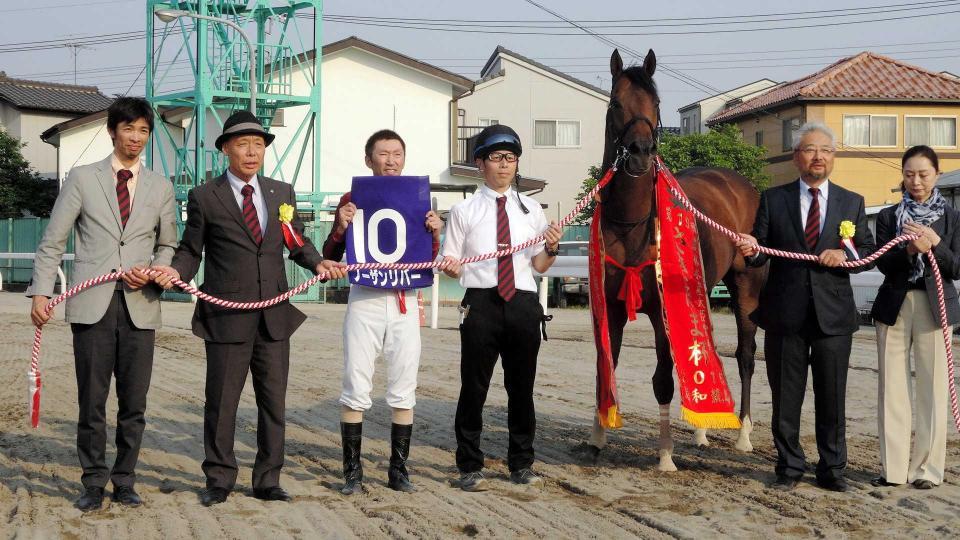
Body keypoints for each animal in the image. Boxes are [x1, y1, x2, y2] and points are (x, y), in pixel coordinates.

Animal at [588, 49, 768, 472]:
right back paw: (701, 430)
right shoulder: (611, 305)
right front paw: (598, 437)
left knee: (746, 355)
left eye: (655, 104)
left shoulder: (660, 311)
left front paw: (666, 454)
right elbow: (608, 365)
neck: (632, 222)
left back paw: (743, 434)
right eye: (615, 103)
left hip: (747, 286)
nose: (640, 152)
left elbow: (662, 381)